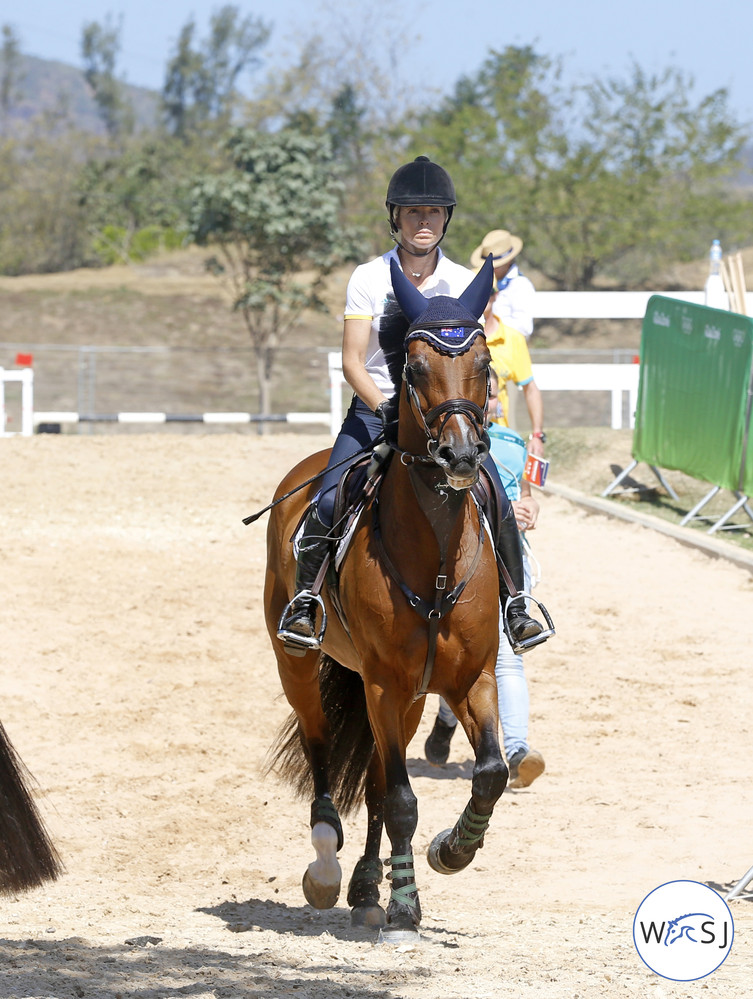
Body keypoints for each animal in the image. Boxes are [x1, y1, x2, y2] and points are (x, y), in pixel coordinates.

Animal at [262, 256, 506, 936]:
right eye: (414, 368)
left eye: (485, 364)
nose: (460, 454)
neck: (436, 565)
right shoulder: (382, 682)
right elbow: (401, 797)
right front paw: (405, 909)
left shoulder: (468, 678)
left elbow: (491, 774)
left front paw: (451, 851)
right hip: (298, 661)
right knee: (321, 748)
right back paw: (327, 869)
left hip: (411, 697)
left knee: (370, 779)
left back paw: (368, 885)